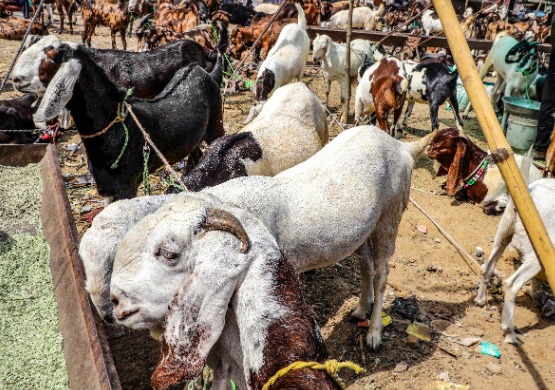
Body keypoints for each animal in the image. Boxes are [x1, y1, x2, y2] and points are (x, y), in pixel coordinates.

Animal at [32, 44, 224, 200]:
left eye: (46, 64)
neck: (114, 128)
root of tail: (206, 72)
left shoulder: (126, 189)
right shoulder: (108, 189)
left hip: (216, 126)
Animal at [109, 123, 438, 354]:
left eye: (169, 254)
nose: (116, 302)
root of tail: (402, 146)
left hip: (390, 216)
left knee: (382, 273)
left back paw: (373, 334)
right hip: (363, 229)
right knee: (366, 265)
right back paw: (360, 309)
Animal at [476, 177, 555, 344]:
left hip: (505, 228)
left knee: (487, 266)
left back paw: (480, 300)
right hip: (540, 250)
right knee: (512, 284)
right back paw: (509, 332)